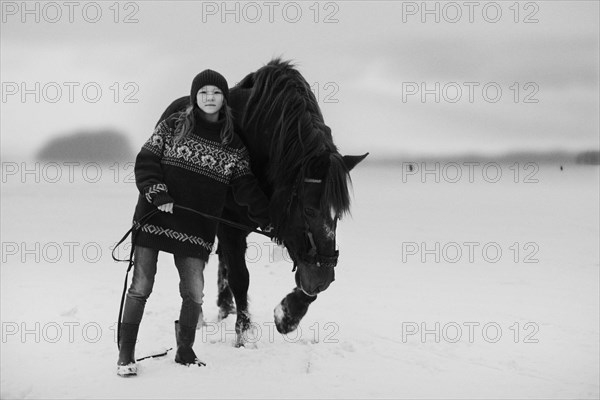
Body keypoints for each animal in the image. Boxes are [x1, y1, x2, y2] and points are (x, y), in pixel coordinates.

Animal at [158, 58, 366, 344]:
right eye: (308, 210)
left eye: (339, 214)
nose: (324, 277)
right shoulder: (230, 226)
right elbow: (240, 278)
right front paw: (244, 335)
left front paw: (289, 314)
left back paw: (225, 307)